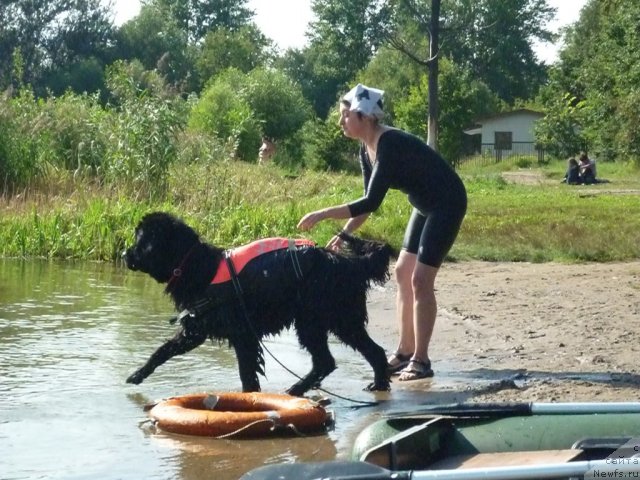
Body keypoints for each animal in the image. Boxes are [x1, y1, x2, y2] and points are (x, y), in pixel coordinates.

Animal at [124, 212, 396, 396]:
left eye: (140, 240)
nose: (125, 254)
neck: (198, 266)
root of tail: (351, 264)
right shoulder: (196, 329)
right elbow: (163, 350)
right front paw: (137, 374)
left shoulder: (242, 335)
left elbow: (246, 372)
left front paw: (249, 399)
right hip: (334, 322)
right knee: (361, 354)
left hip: (319, 321)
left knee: (336, 359)